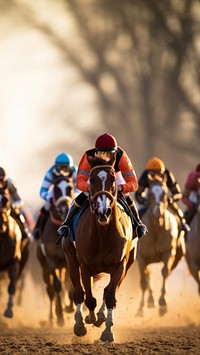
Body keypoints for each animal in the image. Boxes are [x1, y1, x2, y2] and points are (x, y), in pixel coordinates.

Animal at [36, 175, 75, 328]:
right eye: (56, 189)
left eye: (70, 187)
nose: (65, 209)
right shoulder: (52, 260)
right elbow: (57, 286)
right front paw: (60, 317)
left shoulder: (69, 259)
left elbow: (70, 284)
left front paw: (70, 308)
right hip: (43, 266)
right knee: (50, 289)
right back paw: (51, 318)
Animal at [61, 156, 138, 344]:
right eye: (92, 178)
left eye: (113, 178)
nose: (104, 211)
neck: (103, 234)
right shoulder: (85, 266)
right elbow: (88, 298)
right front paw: (87, 321)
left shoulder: (120, 265)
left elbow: (110, 296)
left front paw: (107, 331)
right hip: (71, 259)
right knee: (79, 293)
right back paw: (80, 322)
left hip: (128, 263)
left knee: (107, 291)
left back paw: (101, 316)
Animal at [136, 181, 184, 318]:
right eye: (151, 194)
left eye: (164, 193)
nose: (157, 212)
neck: (156, 228)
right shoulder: (141, 258)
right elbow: (143, 281)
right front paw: (140, 309)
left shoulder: (169, 251)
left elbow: (164, 271)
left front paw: (163, 302)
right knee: (148, 276)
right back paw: (150, 300)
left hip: (177, 257)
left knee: (166, 272)